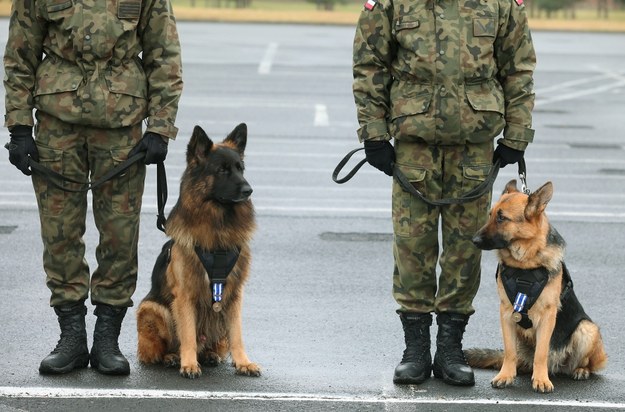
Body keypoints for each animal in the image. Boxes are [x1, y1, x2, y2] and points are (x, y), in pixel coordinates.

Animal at [136, 123, 260, 380]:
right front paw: (189, 364)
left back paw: (210, 354)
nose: (249, 190)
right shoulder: (185, 296)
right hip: (152, 309)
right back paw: (173, 357)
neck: (219, 226)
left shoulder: (234, 294)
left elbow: (237, 333)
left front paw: (243, 362)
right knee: (164, 348)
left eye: (240, 169)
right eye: (222, 170)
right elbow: (188, 334)